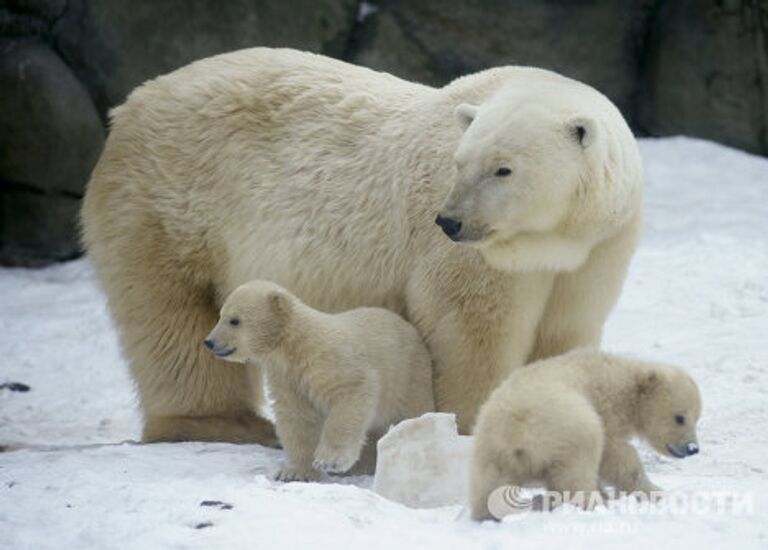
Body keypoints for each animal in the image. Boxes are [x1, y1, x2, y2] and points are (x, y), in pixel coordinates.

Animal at [81, 48, 640, 444]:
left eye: (503, 169)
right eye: (460, 162)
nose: (450, 221)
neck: (548, 238)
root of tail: (129, 106)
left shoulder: (597, 249)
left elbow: (565, 331)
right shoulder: (475, 259)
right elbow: (472, 332)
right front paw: (475, 423)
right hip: (168, 205)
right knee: (171, 315)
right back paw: (223, 423)